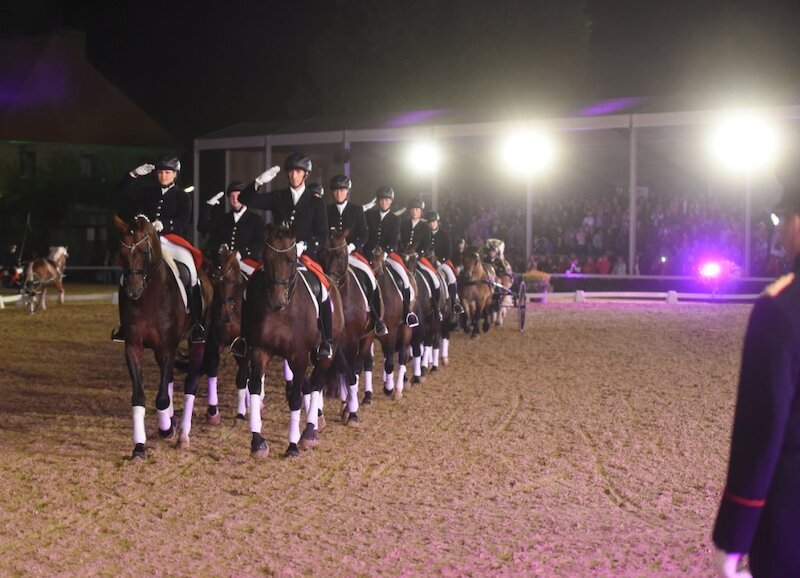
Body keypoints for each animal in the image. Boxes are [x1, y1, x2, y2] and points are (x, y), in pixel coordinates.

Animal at [113, 215, 212, 460]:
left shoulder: (168, 347)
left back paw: (182, 435)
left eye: (144, 250)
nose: (133, 292)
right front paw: (139, 447)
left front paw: (167, 430)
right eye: (122, 252)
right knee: (168, 381)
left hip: (196, 340)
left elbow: (162, 398)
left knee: (190, 384)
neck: (149, 296)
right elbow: (139, 397)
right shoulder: (133, 346)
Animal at [242, 223, 346, 456]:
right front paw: (257, 442)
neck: (284, 312)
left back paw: (309, 432)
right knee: (308, 385)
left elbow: (296, 398)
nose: (277, 302)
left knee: (316, 383)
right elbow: (255, 388)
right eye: (266, 257)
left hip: (325, 351)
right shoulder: (260, 351)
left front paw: (292, 446)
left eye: (290, 259)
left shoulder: (299, 356)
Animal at [314, 228, 374, 424]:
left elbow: (352, 374)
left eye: (340, 256)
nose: (329, 282)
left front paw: (352, 413)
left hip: (367, 338)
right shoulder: (332, 344)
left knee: (356, 367)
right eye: (320, 254)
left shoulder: (353, 341)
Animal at [364, 248, 410, 400]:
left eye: (377, 259)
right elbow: (368, 361)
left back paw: (399, 388)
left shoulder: (393, 331)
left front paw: (389, 389)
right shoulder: (370, 334)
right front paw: (368, 395)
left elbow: (390, 362)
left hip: (406, 329)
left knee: (402, 355)